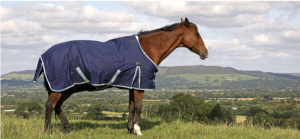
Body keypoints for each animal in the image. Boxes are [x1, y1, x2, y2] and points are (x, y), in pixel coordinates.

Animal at [32, 17, 206, 136]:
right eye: (196, 34)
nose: (206, 53)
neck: (148, 48)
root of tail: (44, 55)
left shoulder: (132, 84)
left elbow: (131, 106)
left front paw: (130, 130)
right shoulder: (140, 84)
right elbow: (138, 107)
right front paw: (138, 130)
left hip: (67, 87)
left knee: (57, 106)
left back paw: (67, 127)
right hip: (61, 86)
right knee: (50, 105)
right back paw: (47, 130)